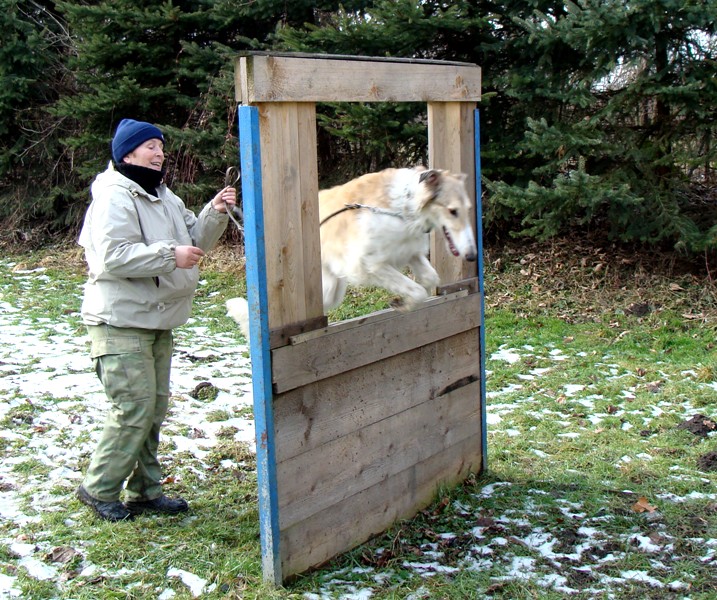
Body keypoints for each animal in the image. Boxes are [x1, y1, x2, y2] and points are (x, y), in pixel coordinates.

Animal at [227, 166, 478, 340]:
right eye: (452, 211)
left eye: (468, 210)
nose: (472, 256)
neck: (402, 207)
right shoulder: (367, 264)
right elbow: (417, 290)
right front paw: (403, 302)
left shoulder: (409, 252)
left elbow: (429, 280)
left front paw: (405, 300)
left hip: (331, 290)